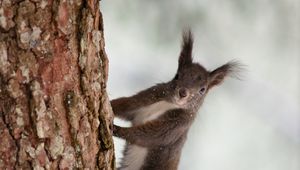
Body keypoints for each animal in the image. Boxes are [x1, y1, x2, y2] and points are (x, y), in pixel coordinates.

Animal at [111, 30, 240, 170]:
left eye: (202, 90)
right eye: (177, 76)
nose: (182, 93)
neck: (169, 104)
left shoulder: (178, 125)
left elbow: (150, 135)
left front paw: (117, 129)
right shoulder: (146, 99)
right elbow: (126, 105)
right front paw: (109, 105)